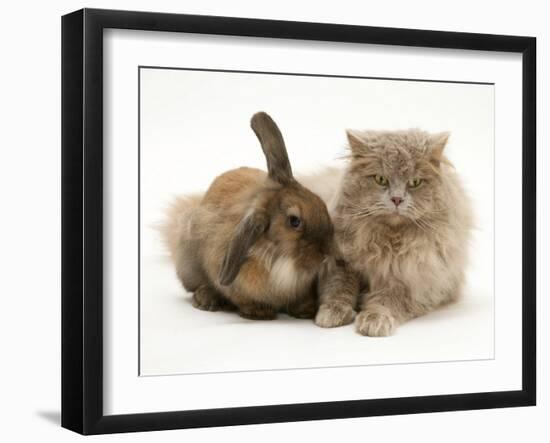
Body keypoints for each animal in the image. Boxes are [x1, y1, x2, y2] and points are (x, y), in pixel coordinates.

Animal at [163, 110, 336, 320]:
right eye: (294, 221)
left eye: (319, 200)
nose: (327, 252)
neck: (282, 260)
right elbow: (242, 299)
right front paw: (259, 312)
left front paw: (307, 311)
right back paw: (206, 299)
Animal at [312, 128, 476, 336]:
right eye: (381, 179)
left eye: (415, 182)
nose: (397, 199)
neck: (385, 243)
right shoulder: (340, 263)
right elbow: (338, 288)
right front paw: (332, 312)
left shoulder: (412, 282)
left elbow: (387, 300)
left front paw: (374, 320)